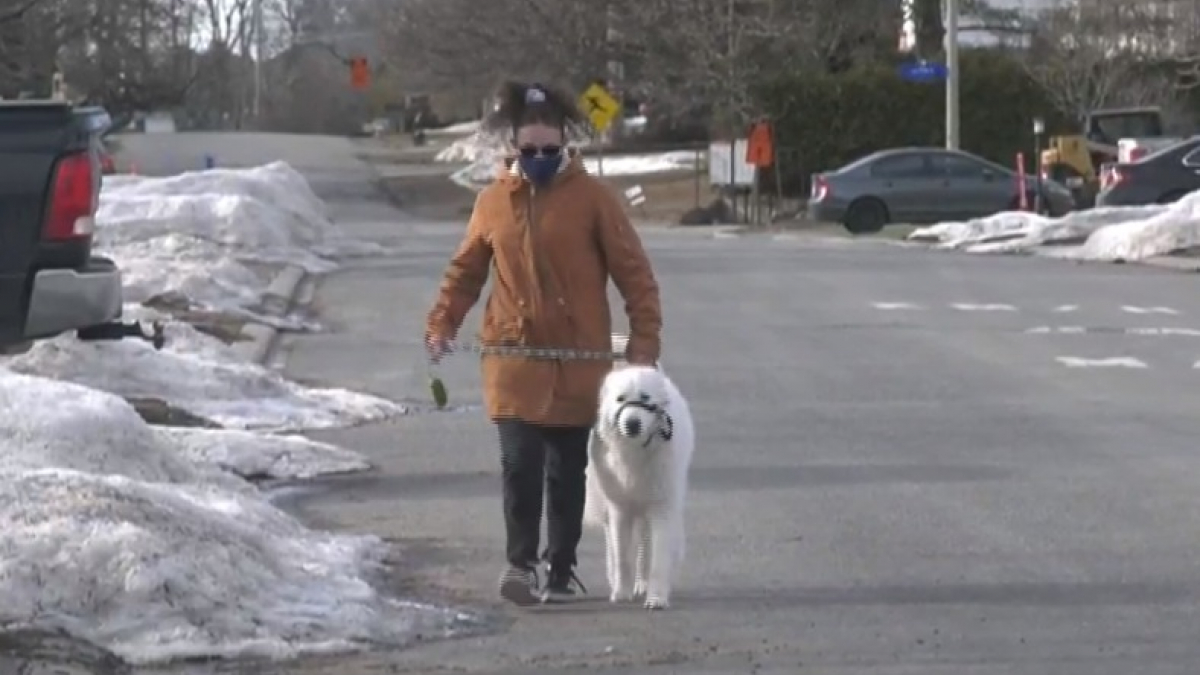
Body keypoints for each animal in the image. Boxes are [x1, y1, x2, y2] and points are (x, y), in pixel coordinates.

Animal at [583, 362, 696, 610]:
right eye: (620, 399)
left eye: (645, 398)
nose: (632, 424)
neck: (636, 451)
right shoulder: (620, 509)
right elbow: (622, 556)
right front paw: (621, 592)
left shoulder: (662, 507)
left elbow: (658, 558)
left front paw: (656, 598)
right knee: (615, 547)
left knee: (646, 547)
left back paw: (643, 585)